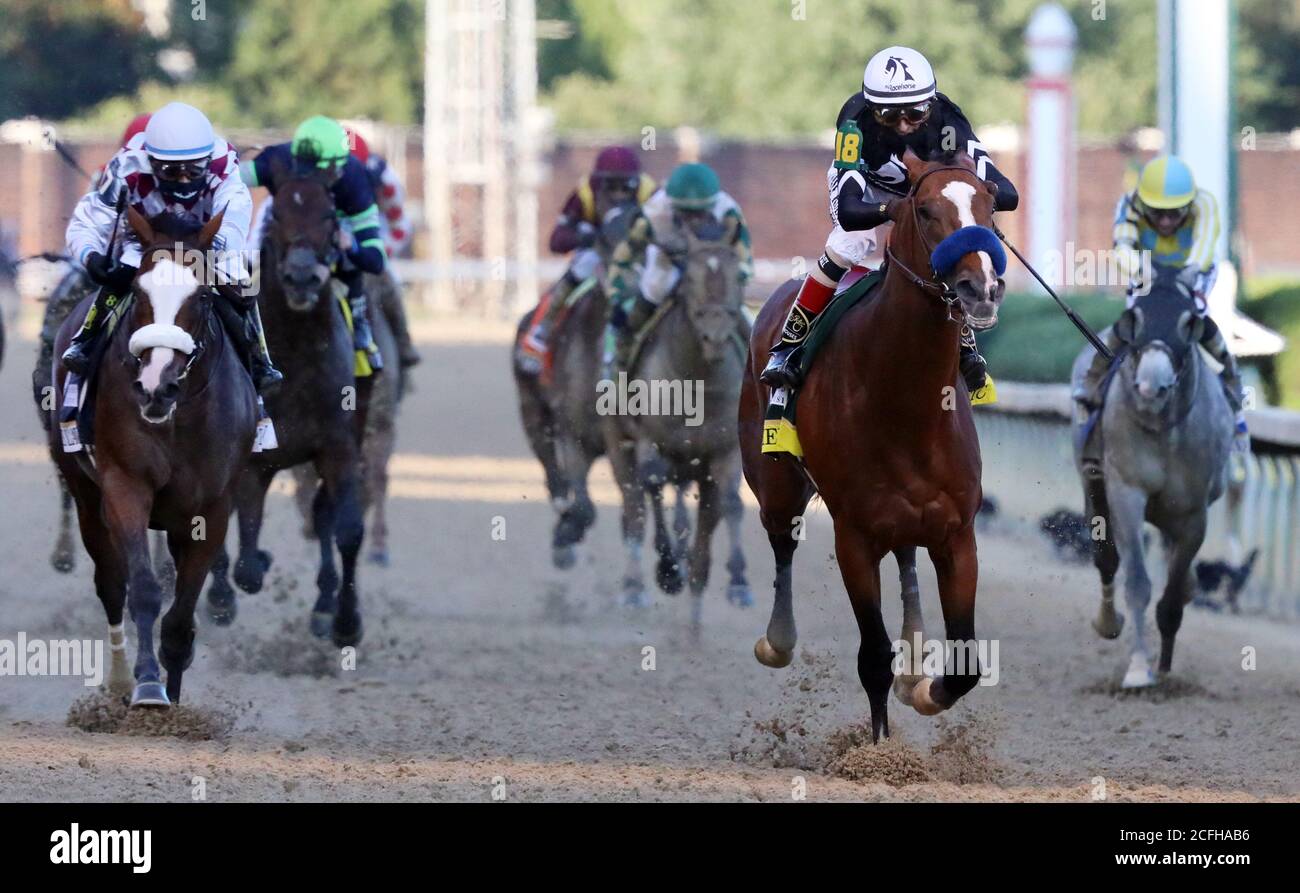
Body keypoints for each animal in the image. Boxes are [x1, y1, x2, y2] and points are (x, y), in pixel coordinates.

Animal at [49, 207, 256, 707]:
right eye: (139, 290)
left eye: (203, 295)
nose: (156, 385)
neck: (179, 418)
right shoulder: (125, 485)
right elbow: (142, 590)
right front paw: (146, 686)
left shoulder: (210, 508)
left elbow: (181, 613)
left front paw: (174, 696)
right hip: (85, 495)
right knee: (111, 583)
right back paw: (120, 679)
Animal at [202, 167, 369, 647]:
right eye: (275, 214)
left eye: (330, 213)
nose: (301, 278)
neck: (296, 351)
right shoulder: (253, 460)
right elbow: (244, 559)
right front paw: (233, 585)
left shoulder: (338, 446)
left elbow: (348, 529)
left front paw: (347, 622)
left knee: (321, 515)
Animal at [600, 219, 754, 618]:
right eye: (690, 278)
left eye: (738, 275)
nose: (715, 336)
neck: (697, 380)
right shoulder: (650, 440)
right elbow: (652, 486)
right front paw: (668, 570)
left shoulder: (725, 450)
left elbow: (732, 502)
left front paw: (739, 582)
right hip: (620, 446)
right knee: (636, 505)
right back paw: (637, 585)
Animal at [743, 152, 1003, 738]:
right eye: (925, 209)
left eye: (989, 203)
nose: (980, 288)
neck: (909, 408)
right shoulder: (854, 537)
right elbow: (873, 657)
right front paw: (879, 747)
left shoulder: (958, 533)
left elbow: (965, 664)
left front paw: (924, 689)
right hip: (774, 483)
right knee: (781, 542)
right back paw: (777, 640)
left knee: (905, 558)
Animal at [1071, 272, 1232, 691]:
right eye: (1135, 319)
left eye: (1188, 322)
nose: (1150, 387)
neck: (1162, 429)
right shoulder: (1126, 490)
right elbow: (1138, 583)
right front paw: (1139, 669)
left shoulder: (1193, 514)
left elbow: (1173, 597)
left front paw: (1163, 668)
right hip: (1094, 485)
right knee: (1106, 559)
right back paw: (1108, 621)